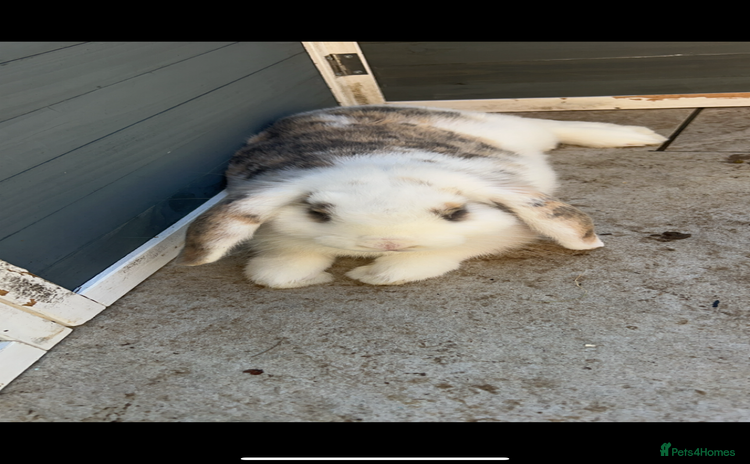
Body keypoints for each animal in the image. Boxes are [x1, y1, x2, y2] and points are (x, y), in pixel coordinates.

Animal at [179, 105, 667, 288]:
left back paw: (643, 136)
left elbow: (424, 261)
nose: (386, 242)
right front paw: (310, 277)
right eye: (318, 213)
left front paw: (370, 274)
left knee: (554, 126)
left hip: (515, 131)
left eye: (457, 214)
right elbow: (276, 272)